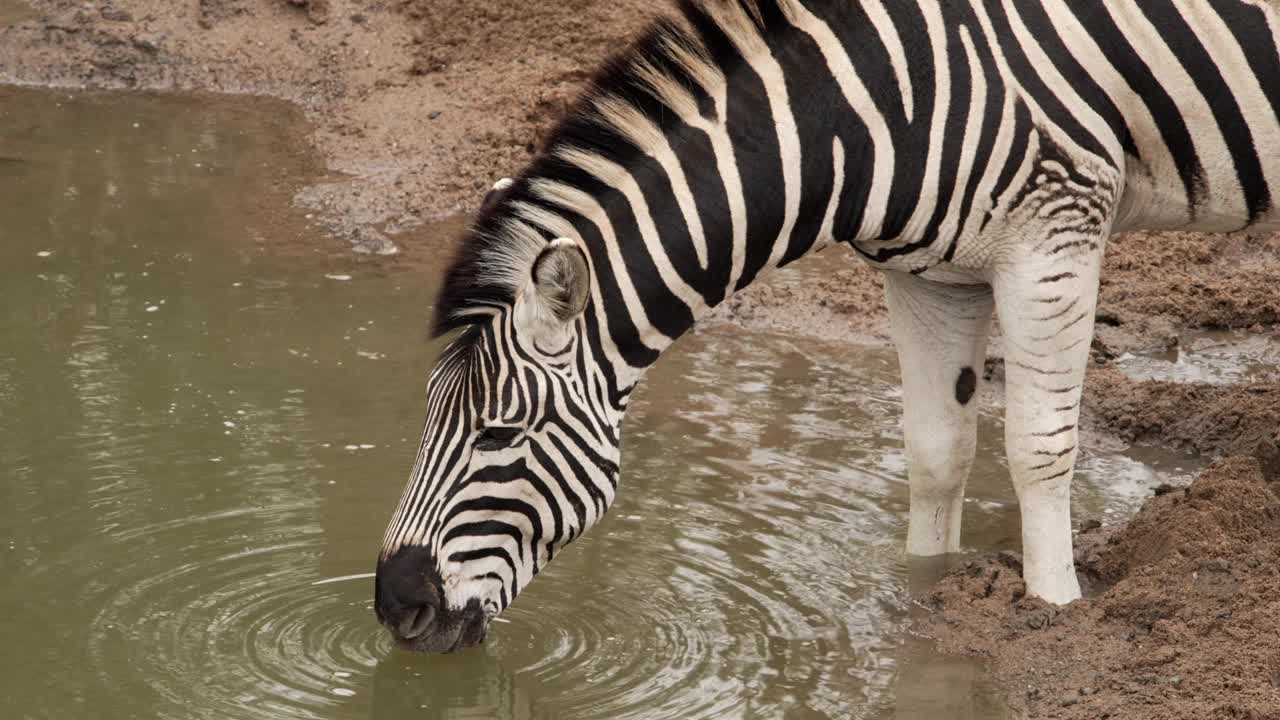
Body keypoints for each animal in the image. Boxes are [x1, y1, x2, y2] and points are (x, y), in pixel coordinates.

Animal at [373, 0, 1280, 650]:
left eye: (500, 435)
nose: (394, 606)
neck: (875, 112)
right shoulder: (930, 277)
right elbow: (936, 453)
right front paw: (923, 592)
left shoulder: (1056, 235)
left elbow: (1038, 449)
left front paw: (1051, 608)